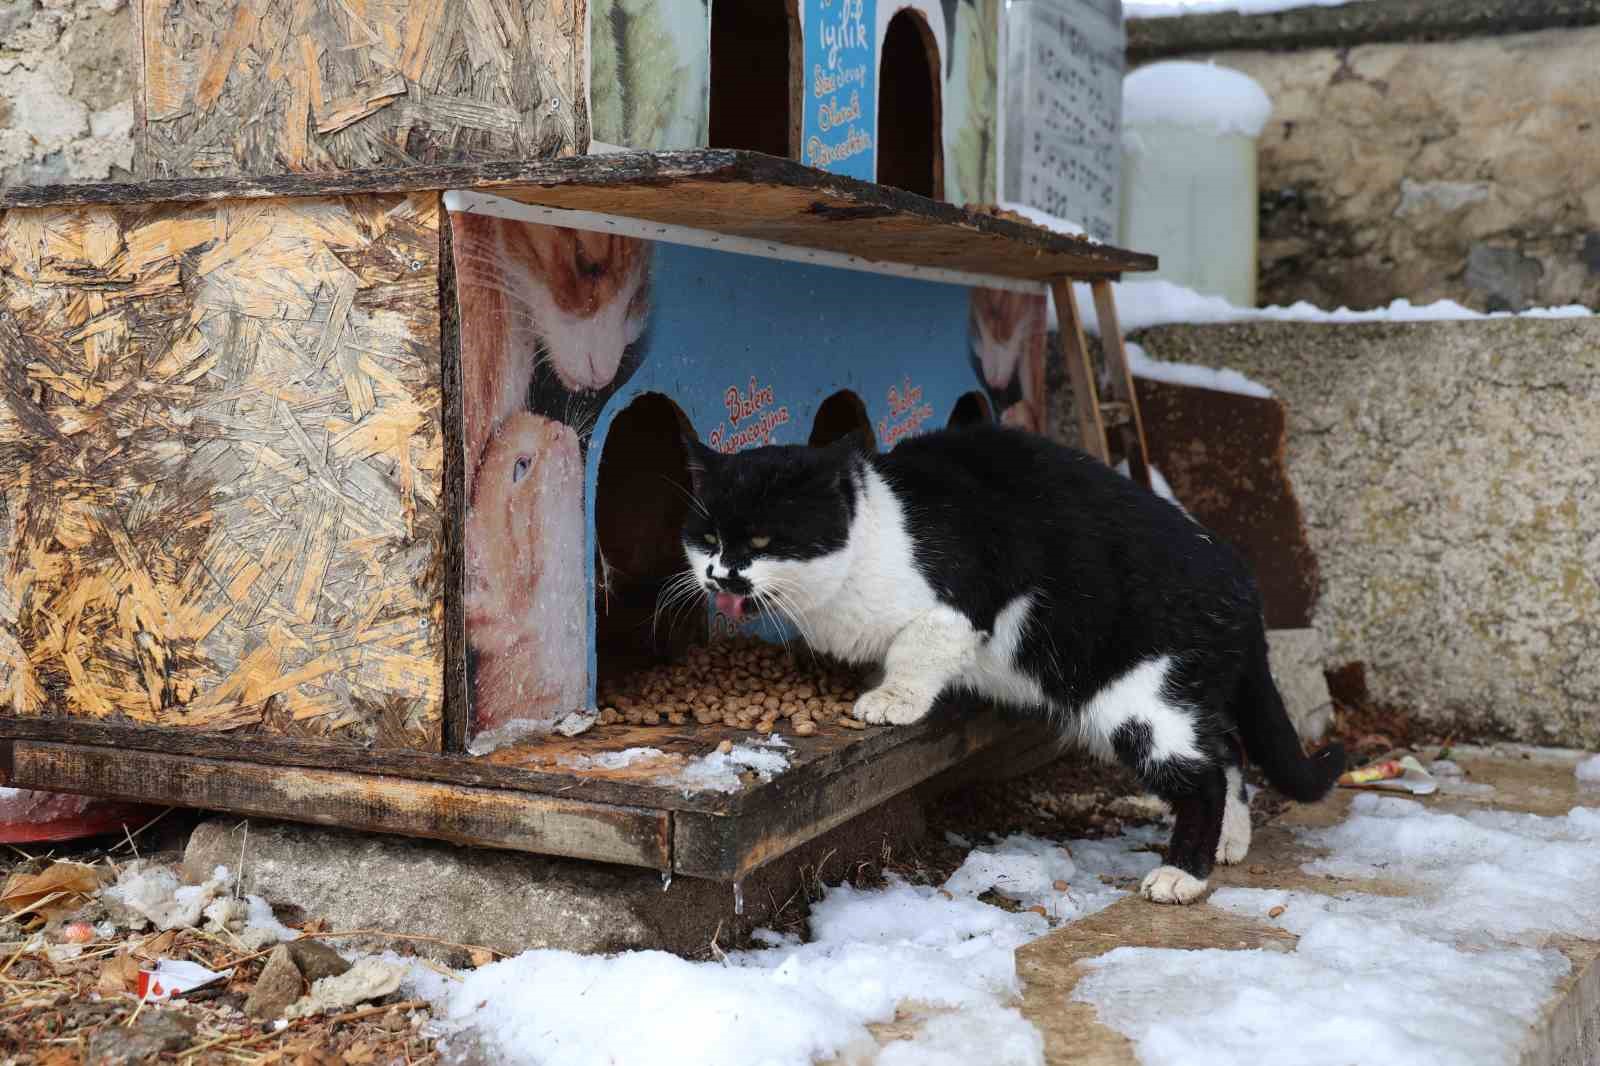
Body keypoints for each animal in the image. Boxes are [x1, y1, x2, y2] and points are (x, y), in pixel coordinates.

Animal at [681, 422, 1344, 902]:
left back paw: (1184, 874)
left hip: (1141, 698)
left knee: (1203, 774)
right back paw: (1232, 840)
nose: (720, 575)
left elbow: (919, 645)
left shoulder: (966, 599)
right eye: (707, 537)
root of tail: (1241, 581)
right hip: (1186, 689)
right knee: (1227, 750)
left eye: (763, 541)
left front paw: (892, 699)